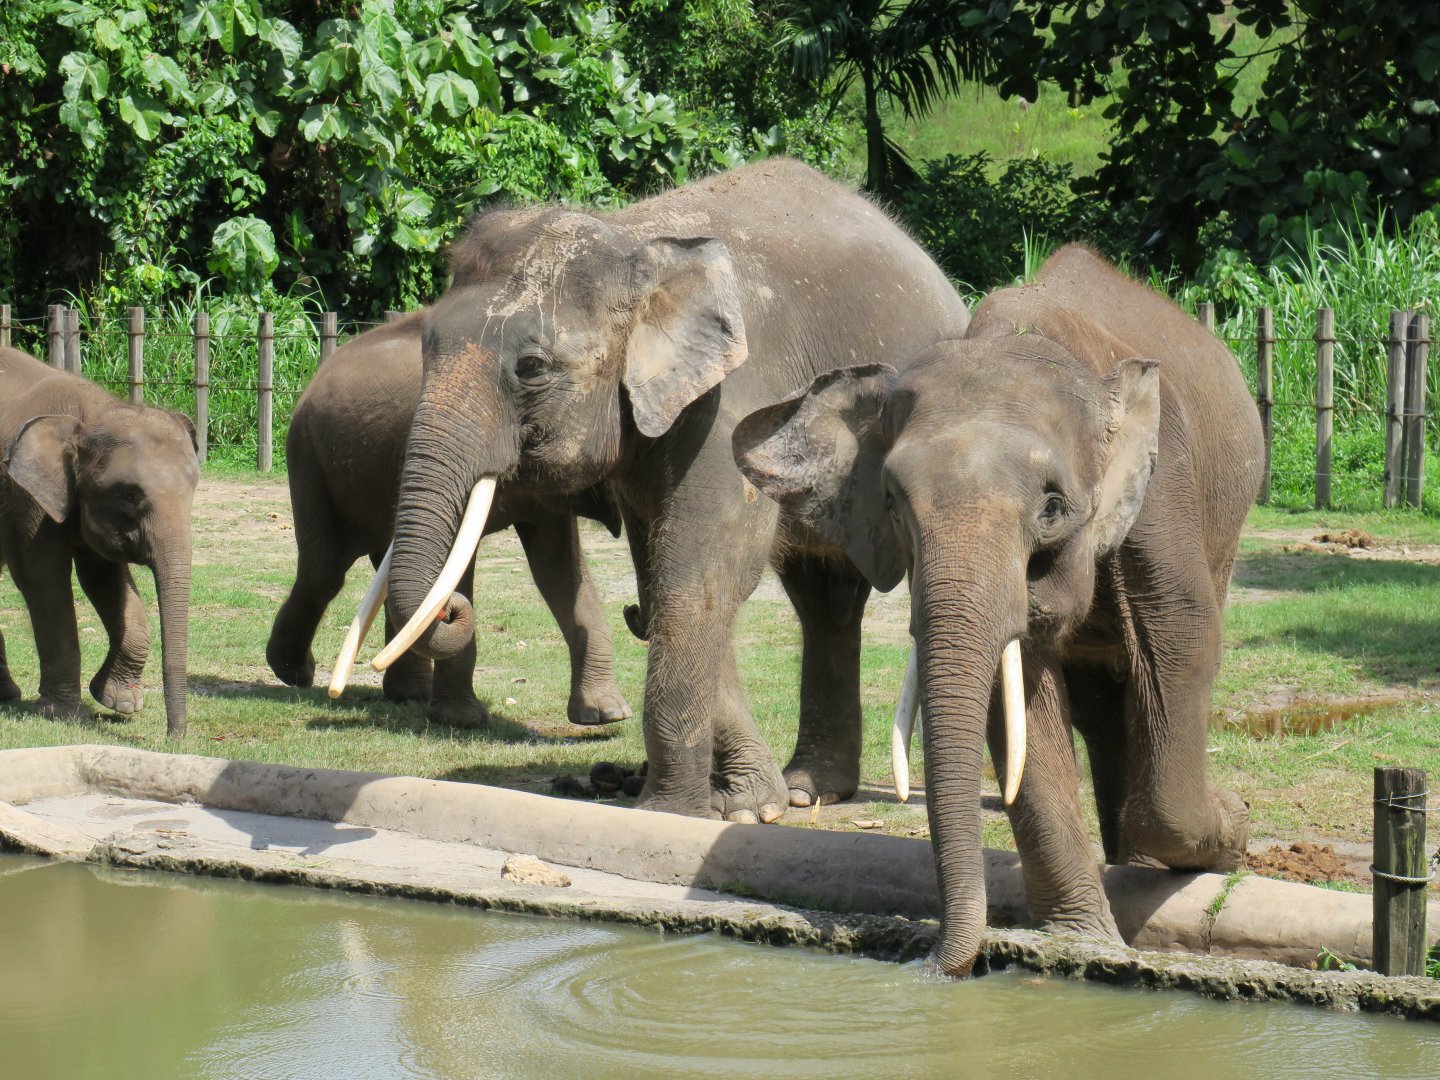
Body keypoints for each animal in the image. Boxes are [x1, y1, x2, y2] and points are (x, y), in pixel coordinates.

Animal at [0, 345, 199, 737]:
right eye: (128, 496)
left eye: (193, 491)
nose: (176, 737)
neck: (91, 415)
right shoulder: (24, 496)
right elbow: (42, 577)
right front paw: (64, 713)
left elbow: (104, 577)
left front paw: (119, 703)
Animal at [266, 312, 632, 728]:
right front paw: (463, 720)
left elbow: (557, 568)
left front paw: (606, 716)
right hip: (308, 457)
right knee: (323, 572)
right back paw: (294, 672)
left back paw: (407, 694)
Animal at [372, 159, 970, 821]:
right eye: (425, 348)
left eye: (532, 367)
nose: (453, 606)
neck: (633, 242)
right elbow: (664, 576)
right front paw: (745, 804)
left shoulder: (740, 401)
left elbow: (702, 572)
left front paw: (674, 812)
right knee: (826, 599)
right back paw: (805, 789)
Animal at [733, 245, 1263, 976]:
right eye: (892, 500)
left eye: (1053, 506)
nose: (932, 964)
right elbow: (1015, 706)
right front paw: (1083, 942)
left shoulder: (1164, 497)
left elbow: (1182, 646)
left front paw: (1232, 825)